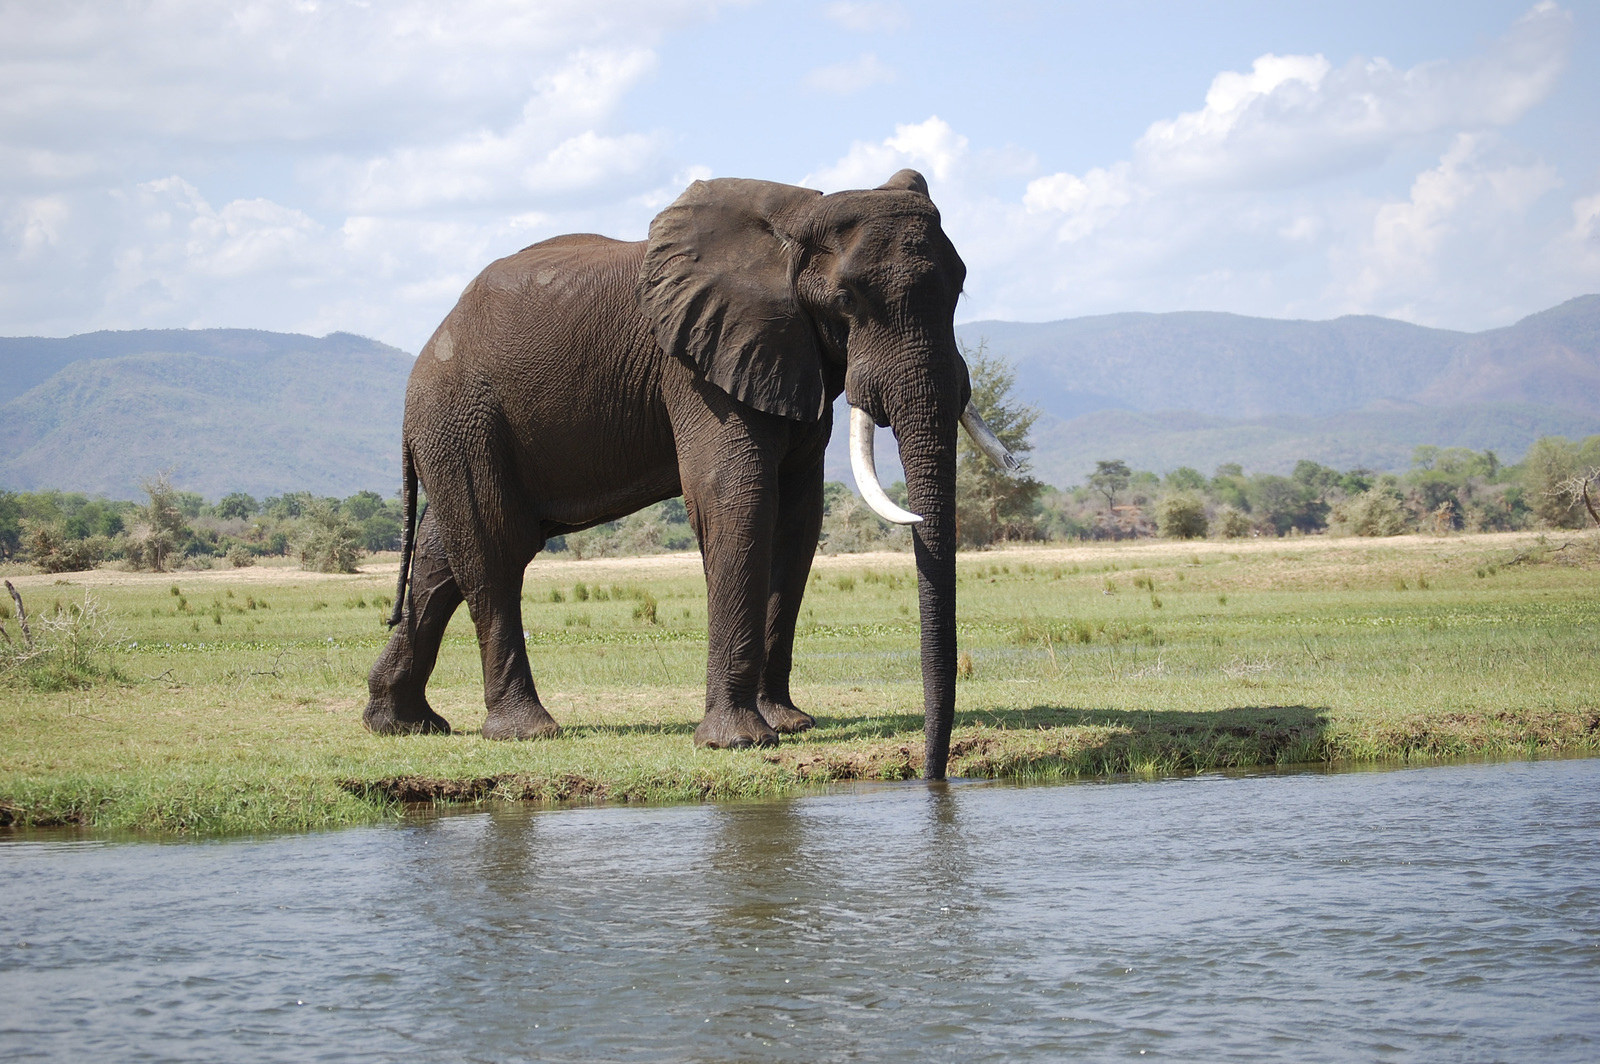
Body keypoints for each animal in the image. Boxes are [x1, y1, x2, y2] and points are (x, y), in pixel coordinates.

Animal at [363, 169, 1016, 779]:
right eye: (849, 299)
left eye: (960, 288)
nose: (931, 774)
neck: (799, 214)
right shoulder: (697, 365)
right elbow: (738, 500)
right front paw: (739, 742)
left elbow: (798, 518)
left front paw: (789, 725)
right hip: (461, 416)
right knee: (495, 545)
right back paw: (526, 732)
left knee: (443, 552)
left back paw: (400, 724)